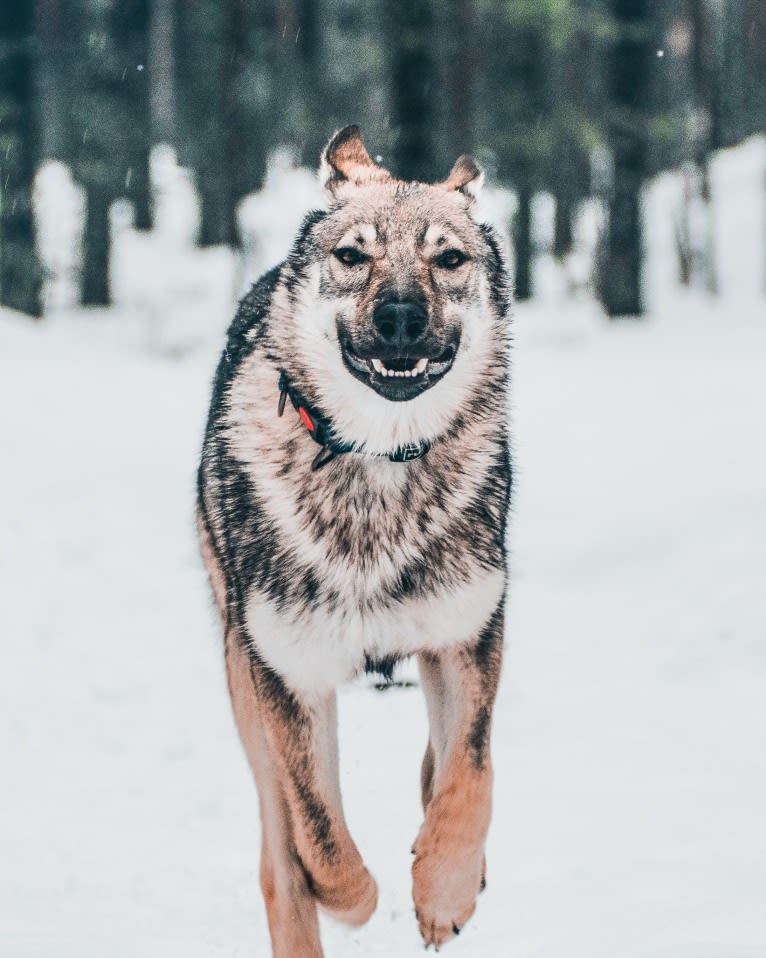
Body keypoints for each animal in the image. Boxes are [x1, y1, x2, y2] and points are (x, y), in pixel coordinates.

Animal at [198, 125, 510, 952]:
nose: (401, 314)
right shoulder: (290, 677)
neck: (376, 466)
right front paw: (356, 899)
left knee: (442, 762)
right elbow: (320, 833)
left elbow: (470, 776)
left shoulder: (466, 638)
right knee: (280, 857)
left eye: (448, 259)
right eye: (352, 255)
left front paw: (446, 889)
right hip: (242, 672)